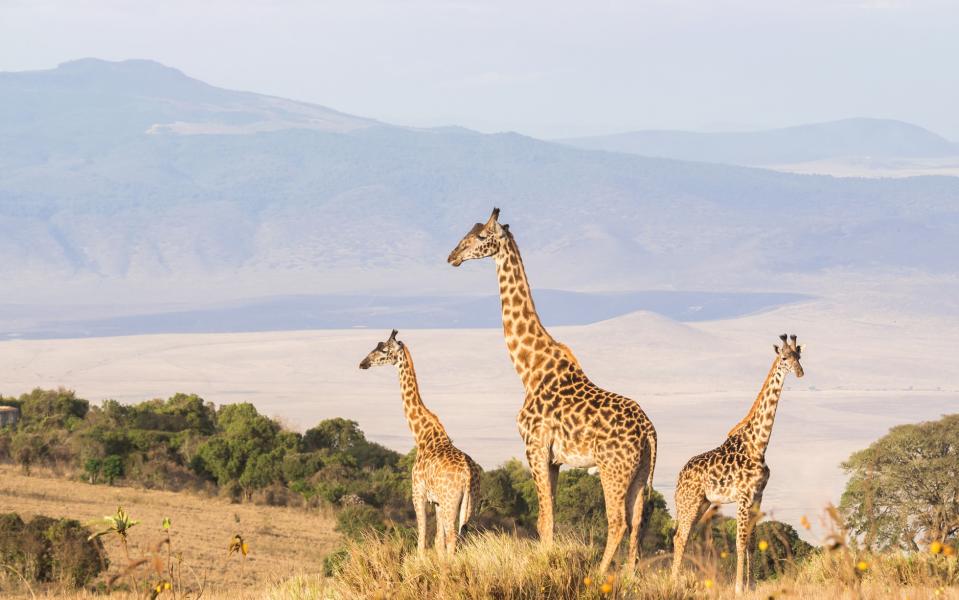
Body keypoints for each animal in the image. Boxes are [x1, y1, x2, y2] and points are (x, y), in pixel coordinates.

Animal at [358, 330, 484, 556]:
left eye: (383, 349)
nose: (363, 363)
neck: (422, 435)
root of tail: (469, 475)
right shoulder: (437, 501)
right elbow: (437, 542)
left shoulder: (418, 492)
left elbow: (422, 538)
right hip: (469, 504)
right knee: (461, 536)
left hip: (451, 501)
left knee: (452, 537)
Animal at [446, 209, 656, 576]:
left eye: (482, 237)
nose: (452, 256)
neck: (529, 370)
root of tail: (649, 431)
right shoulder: (555, 458)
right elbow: (551, 518)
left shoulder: (534, 446)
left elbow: (543, 520)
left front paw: (544, 567)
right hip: (641, 473)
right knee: (638, 524)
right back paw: (629, 577)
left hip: (613, 468)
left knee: (618, 521)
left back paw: (599, 575)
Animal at [672, 336, 808, 592]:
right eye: (785, 358)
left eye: (799, 356)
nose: (800, 372)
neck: (758, 445)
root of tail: (679, 478)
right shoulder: (743, 497)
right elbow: (740, 542)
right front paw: (738, 587)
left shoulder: (758, 496)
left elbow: (752, 543)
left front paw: (751, 585)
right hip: (689, 502)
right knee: (680, 537)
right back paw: (673, 583)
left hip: (703, 503)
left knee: (682, 537)